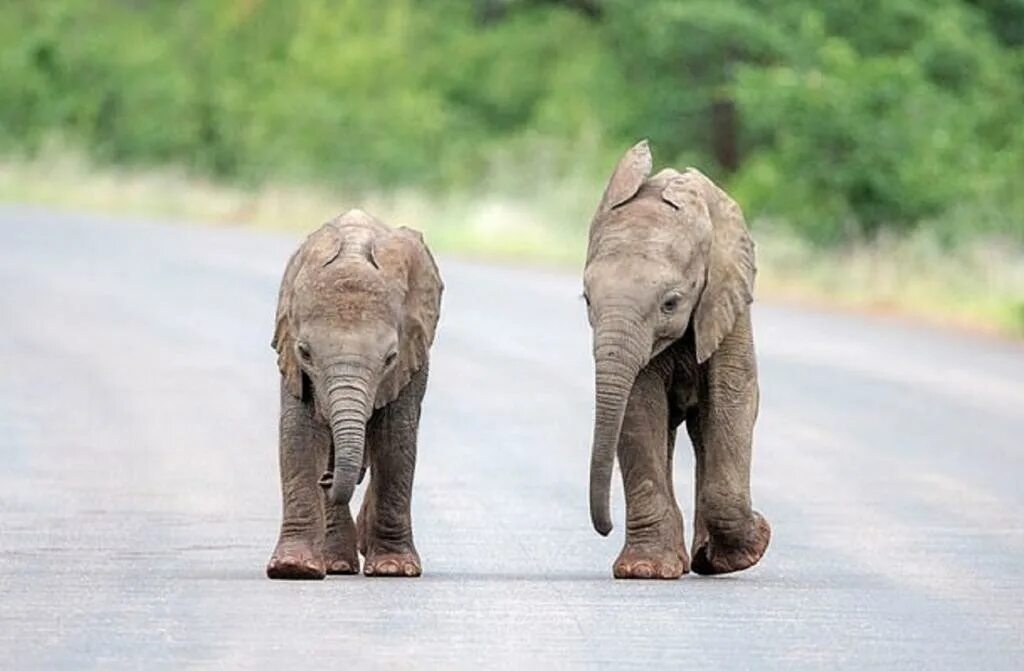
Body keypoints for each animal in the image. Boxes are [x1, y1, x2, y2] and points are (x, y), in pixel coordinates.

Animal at [264, 211, 440, 581]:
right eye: (305, 353)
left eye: (390, 358)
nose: (327, 480)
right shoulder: (291, 358)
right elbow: (298, 435)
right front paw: (293, 568)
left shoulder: (410, 355)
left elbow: (394, 441)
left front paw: (393, 569)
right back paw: (336, 564)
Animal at [581, 140, 770, 577]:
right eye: (586, 300)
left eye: (671, 303)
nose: (604, 527)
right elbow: (638, 407)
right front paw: (643, 571)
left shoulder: (728, 304)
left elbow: (733, 397)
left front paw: (752, 545)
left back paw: (708, 559)